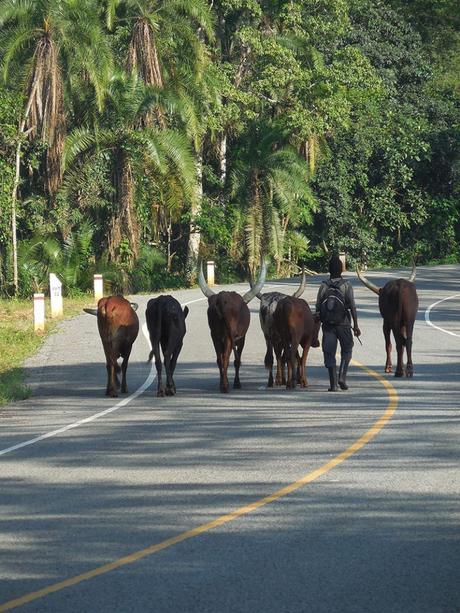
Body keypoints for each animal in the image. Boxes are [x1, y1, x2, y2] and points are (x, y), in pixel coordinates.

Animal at [198, 260, 266, 390]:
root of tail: (221, 300)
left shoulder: (217, 337)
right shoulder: (241, 339)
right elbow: (236, 361)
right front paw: (236, 383)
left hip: (215, 336)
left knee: (220, 359)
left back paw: (222, 384)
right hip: (229, 337)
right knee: (227, 358)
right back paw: (225, 386)